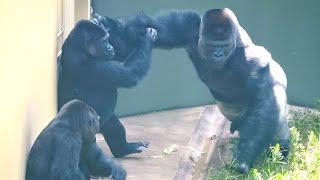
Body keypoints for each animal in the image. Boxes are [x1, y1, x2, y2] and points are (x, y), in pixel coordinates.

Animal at [57, 15, 158, 157]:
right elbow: (129, 73)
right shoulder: (90, 66)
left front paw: (101, 21)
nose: (110, 46)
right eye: (104, 41)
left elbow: (124, 52)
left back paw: (124, 148)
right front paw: (147, 39)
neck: (80, 48)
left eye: (107, 39)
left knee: (112, 124)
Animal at [152, 8, 290, 173]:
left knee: (275, 124)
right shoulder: (188, 26)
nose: (218, 54)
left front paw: (244, 159)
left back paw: (281, 152)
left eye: (224, 46)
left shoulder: (253, 61)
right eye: (211, 45)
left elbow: (265, 104)